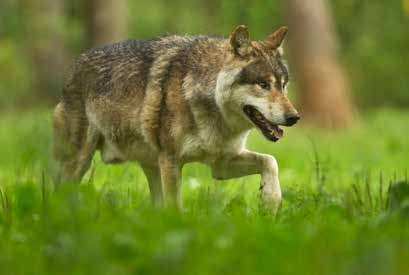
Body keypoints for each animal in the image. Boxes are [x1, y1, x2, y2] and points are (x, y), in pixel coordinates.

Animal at [51, 25, 300, 215]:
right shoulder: (171, 161)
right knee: (60, 191)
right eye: (263, 85)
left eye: (283, 85)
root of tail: (74, 65)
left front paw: (270, 200)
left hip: (150, 166)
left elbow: (270, 161)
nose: (294, 117)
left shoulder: (220, 165)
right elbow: (175, 207)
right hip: (80, 161)